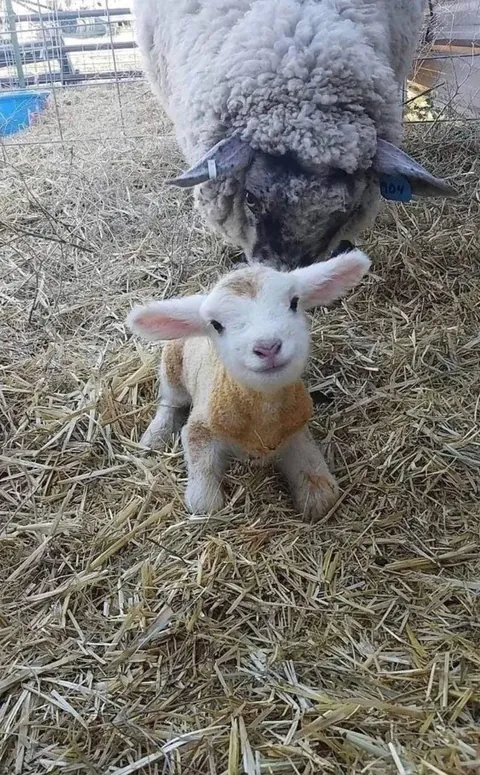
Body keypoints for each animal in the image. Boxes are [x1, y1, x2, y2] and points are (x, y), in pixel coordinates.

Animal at [127, 249, 371, 521]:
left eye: (294, 302)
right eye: (216, 324)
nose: (268, 347)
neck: (263, 414)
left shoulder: (295, 429)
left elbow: (320, 487)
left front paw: (315, 496)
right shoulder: (201, 428)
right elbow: (204, 501)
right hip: (172, 366)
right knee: (170, 401)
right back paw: (155, 436)